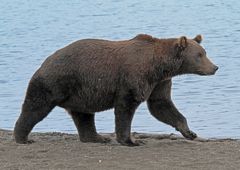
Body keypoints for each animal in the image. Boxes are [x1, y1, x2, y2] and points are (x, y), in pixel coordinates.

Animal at [14, 33, 218, 145]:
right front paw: (130, 140)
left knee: (84, 116)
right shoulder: (134, 77)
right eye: (199, 55)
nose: (215, 67)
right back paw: (22, 137)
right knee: (36, 106)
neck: (159, 66)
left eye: (204, 52)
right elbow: (126, 108)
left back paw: (96, 138)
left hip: (82, 92)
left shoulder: (159, 82)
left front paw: (189, 132)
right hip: (56, 81)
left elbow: (161, 105)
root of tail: (45, 61)